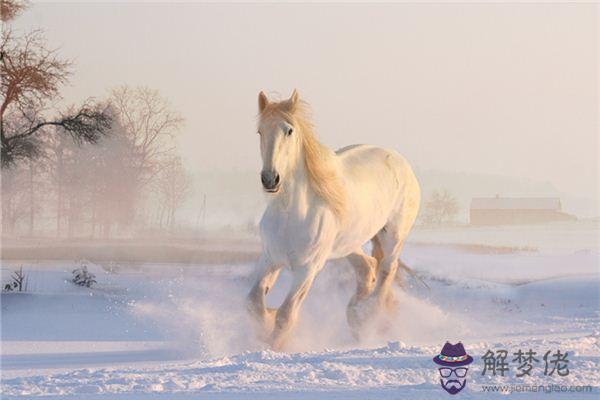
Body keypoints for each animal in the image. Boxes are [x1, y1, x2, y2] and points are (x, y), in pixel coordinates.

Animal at [246, 89, 420, 348]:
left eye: (289, 130)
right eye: (260, 131)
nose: (270, 179)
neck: (291, 215)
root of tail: (399, 160)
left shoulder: (307, 269)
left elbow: (286, 315)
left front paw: (273, 347)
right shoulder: (270, 259)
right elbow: (254, 304)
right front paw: (265, 325)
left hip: (393, 236)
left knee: (387, 269)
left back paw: (368, 315)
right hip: (349, 244)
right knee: (368, 267)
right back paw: (356, 316)